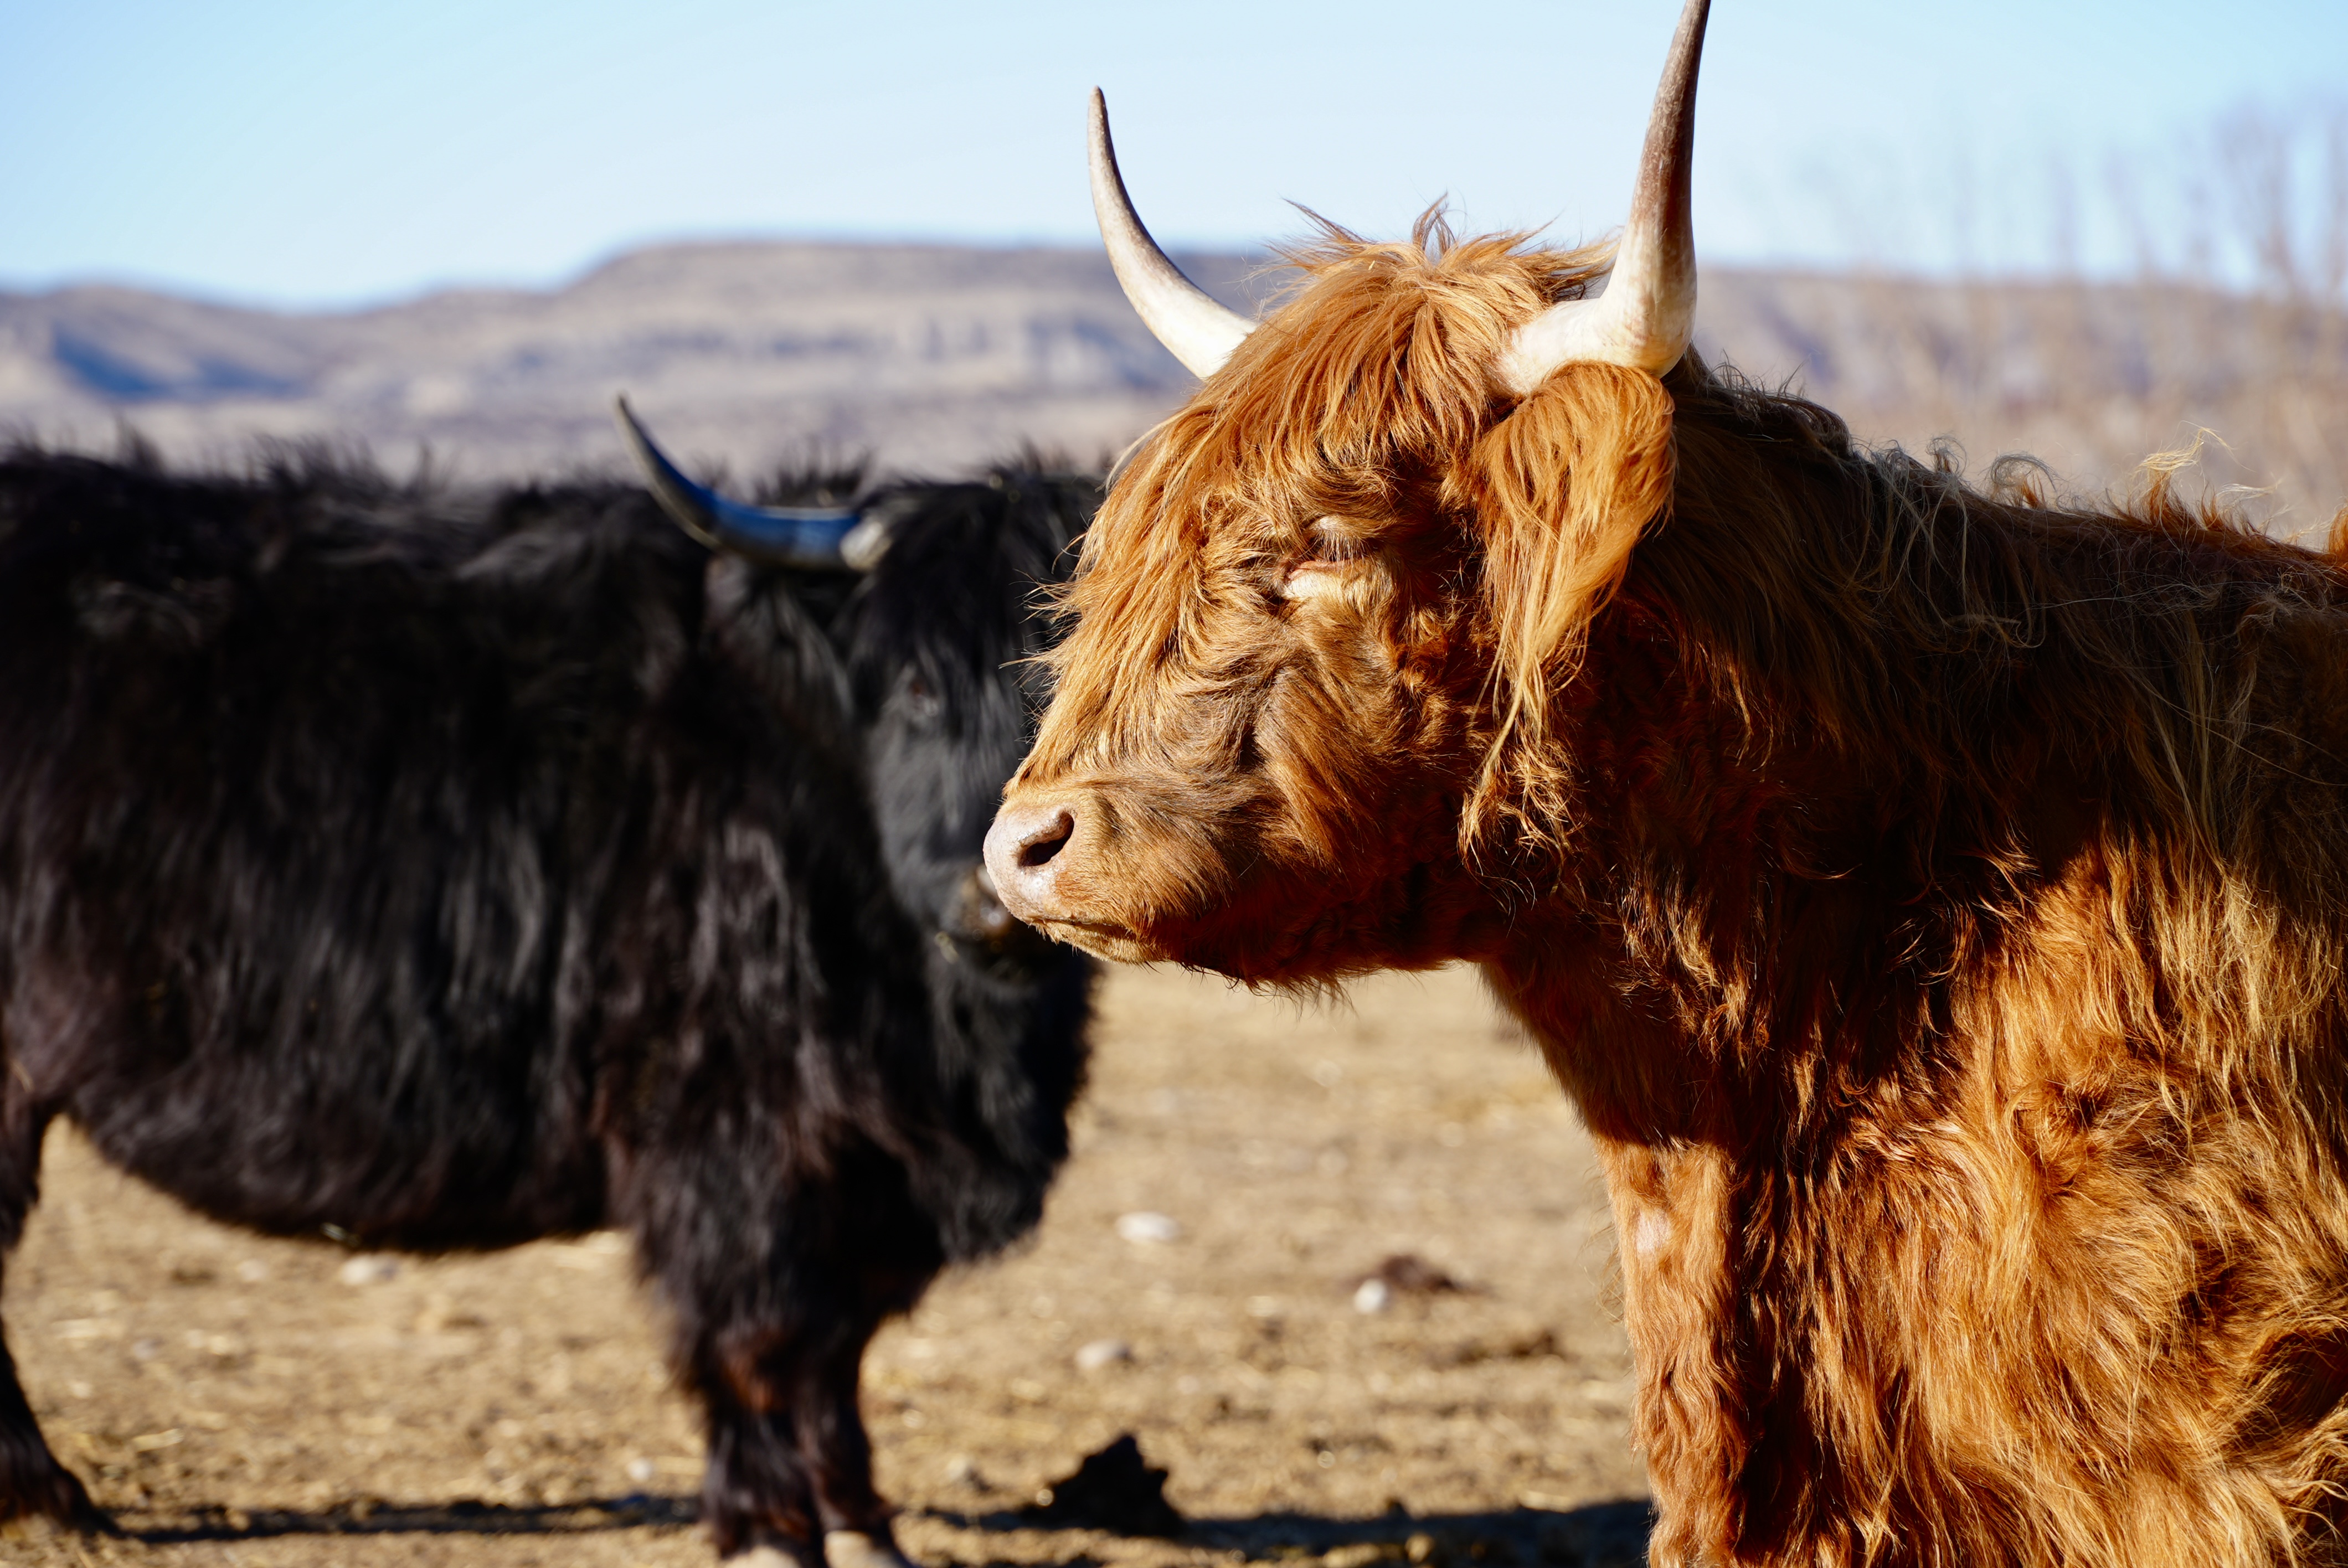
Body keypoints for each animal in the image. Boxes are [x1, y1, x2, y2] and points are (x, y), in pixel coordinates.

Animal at [0, 418, 1095, 1568]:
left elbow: (836, 1355)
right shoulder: (730, 1139)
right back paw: (45, 1493)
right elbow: (761, 1335)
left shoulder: (865, 1172)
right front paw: (770, 1526)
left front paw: (861, 1523)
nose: (1000, 895)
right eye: (920, 688)